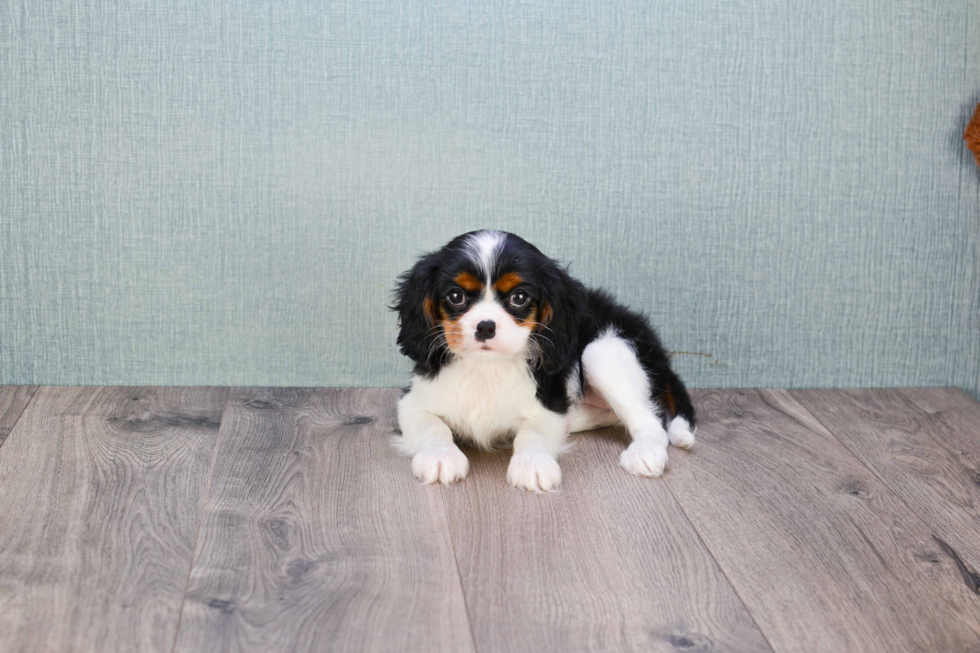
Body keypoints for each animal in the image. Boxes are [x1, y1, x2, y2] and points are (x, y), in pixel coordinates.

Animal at [390, 229, 696, 488]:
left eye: (519, 297)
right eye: (455, 296)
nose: (486, 326)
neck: (486, 368)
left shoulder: (550, 409)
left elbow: (532, 433)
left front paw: (533, 464)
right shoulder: (412, 404)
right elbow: (433, 426)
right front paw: (440, 456)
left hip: (602, 352)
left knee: (652, 423)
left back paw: (645, 452)